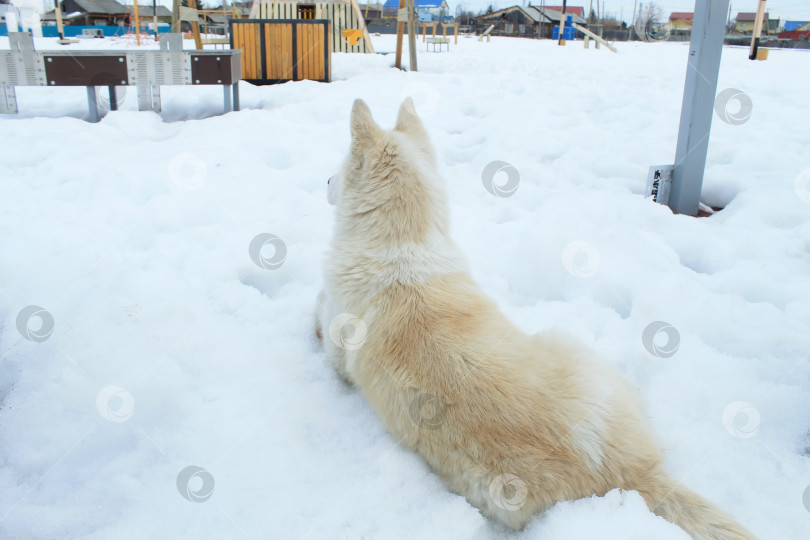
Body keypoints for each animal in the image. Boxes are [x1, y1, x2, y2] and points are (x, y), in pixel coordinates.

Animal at [314, 99, 752, 536]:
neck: (401, 244)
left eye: (341, 164)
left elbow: (319, 320)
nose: (325, 181)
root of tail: (636, 474)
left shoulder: (336, 348)